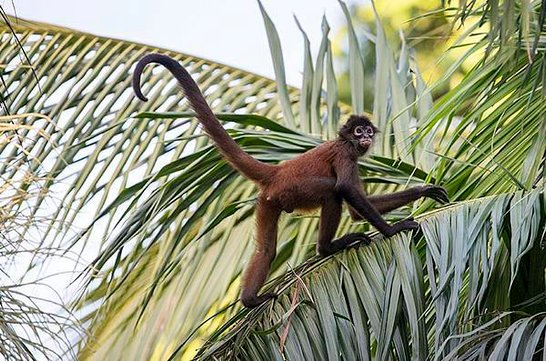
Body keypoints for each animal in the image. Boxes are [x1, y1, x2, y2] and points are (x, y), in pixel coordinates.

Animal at [131, 53, 446, 306]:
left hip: (268, 200)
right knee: (331, 193)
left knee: (265, 249)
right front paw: (393, 230)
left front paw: (423, 191)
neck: (344, 141)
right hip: (293, 189)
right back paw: (326, 249)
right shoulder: (345, 153)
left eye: (368, 131)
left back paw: (250, 300)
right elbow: (345, 189)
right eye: (358, 131)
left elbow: (357, 211)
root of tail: (279, 171)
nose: (366, 136)